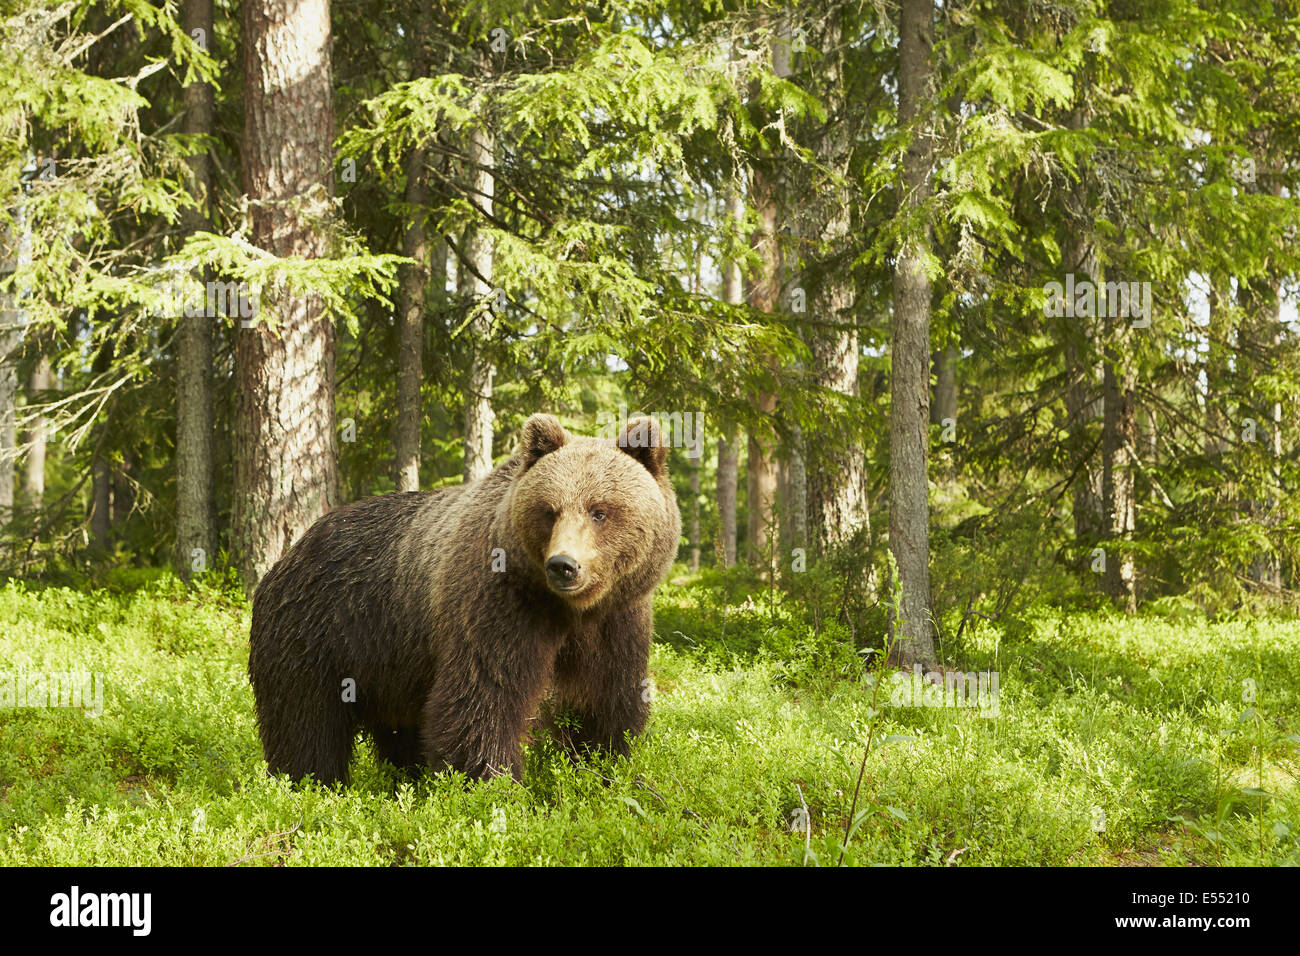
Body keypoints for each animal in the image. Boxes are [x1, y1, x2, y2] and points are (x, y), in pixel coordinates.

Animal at [247, 413, 681, 786]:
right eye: (549, 510)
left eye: (599, 511)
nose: (563, 565)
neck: (568, 610)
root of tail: (290, 552)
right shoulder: (497, 605)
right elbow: (483, 699)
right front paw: (493, 783)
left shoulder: (618, 621)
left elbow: (608, 699)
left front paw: (602, 765)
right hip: (316, 633)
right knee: (305, 721)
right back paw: (309, 781)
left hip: (388, 662)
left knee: (397, 729)